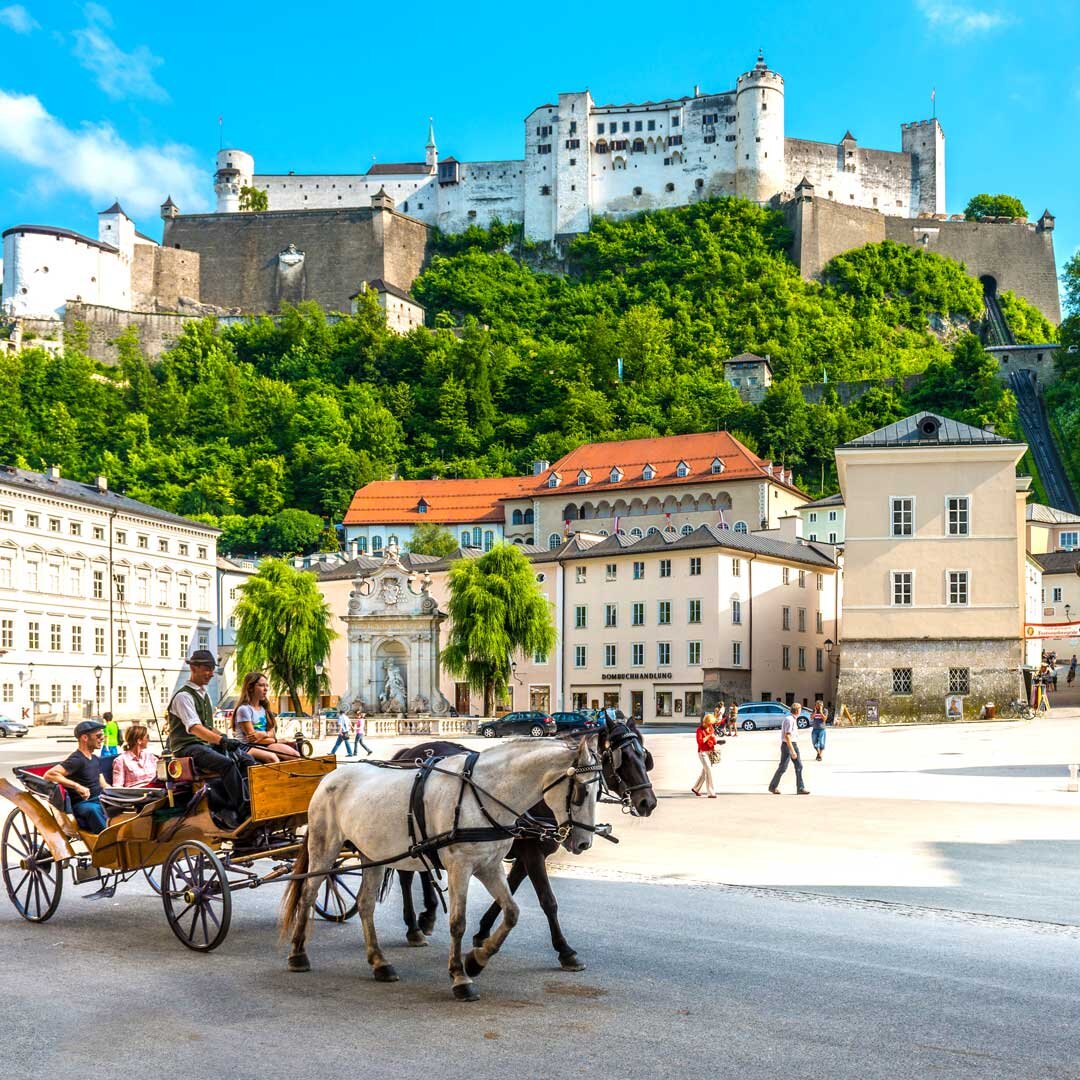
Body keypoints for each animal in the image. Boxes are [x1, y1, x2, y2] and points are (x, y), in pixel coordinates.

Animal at [280, 734, 600, 1002]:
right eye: (581, 793)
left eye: (599, 789)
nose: (584, 842)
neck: (483, 794)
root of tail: (330, 776)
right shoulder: (461, 866)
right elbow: (458, 922)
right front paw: (461, 976)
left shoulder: (489, 866)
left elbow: (511, 912)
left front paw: (476, 960)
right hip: (325, 846)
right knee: (308, 894)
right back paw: (298, 953)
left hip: (372, 853)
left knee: (365, 904)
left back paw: (380, 962)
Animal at [393, 725, 652, 972]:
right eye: (623, 758)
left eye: (643, 756)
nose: (648, 802)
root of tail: (410, 752)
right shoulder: (532, 853)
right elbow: (548, 900)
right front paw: (565, 950)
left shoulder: (526, 856)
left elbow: (509, 889)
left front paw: (483, 932)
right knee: (405, 876)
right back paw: (414, 927)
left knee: (423, 868)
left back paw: (428, 915)